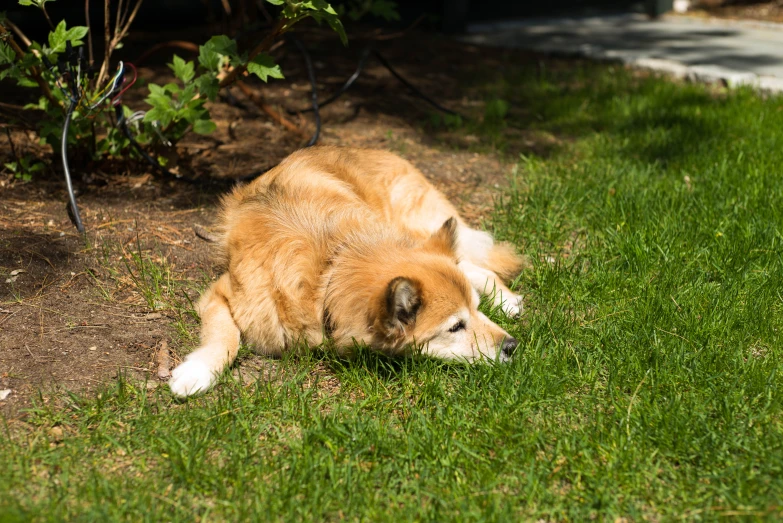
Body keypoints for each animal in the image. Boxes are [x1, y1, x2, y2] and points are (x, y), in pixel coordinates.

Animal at [172, 146, 528, 398]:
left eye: (477, 312)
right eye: (455, 327)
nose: (512, 346)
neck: (330, 270)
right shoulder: (223, 292)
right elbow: (225, 337)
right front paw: (197, 373)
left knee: (473, 263)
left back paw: (506, 299)